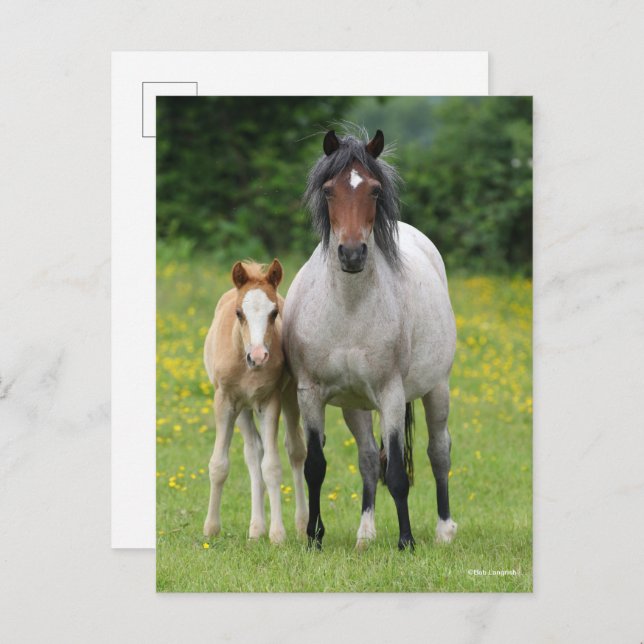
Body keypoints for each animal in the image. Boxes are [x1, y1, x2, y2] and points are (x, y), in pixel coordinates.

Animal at [203, 259, 308, 544]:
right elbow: (219, 464)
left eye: (274, 313)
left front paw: (278, 534)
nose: (258, 356)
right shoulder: (225, 401)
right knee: (253, 452)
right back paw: (256, 528)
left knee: (295, 450)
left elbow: (272, 466)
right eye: (239, 313)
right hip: (242, 410)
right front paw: (211, 528)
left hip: (289, 396)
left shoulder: (270, 401)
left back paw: (301, 524)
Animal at [282, 128, 458, 550]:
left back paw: (444, 529)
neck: (348, 308)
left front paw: (406, 542)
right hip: (355, 406)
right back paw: (365, 534)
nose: (351, 254)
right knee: (365, 458)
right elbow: (316, 466)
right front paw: (314, 538)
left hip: (437, 389)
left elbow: (396, 473)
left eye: (375, 191)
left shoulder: (391, 394)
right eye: (329, 190)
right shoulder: (310, 394)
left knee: (438, 452)